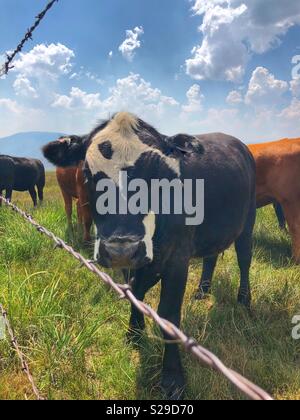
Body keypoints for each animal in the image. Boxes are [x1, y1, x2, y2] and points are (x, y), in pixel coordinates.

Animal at [43, 112, 256, 400]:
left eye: (157, 175)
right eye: (88, 173)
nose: (121, 248)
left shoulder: (177, 260)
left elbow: (169, 314)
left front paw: (172, 377)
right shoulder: (136, 262)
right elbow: (135, 291)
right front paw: (134, 332)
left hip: (248, 220)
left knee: (244, 258)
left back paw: (244, 300)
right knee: (210, 256)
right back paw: (202, 290)